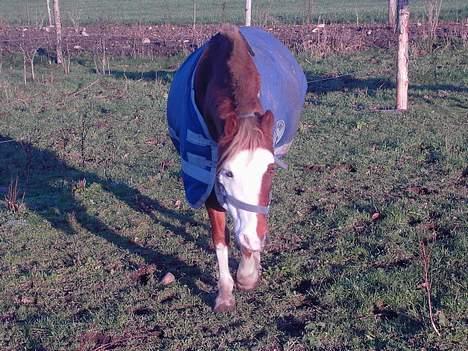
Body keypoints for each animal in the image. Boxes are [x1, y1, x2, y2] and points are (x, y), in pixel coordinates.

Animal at [165, 23, 308, 312]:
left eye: (271, 169)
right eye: (228, 172)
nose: (255, 238)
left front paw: (248, 272)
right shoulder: (208, 180)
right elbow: (221, 237)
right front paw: (225, 292)